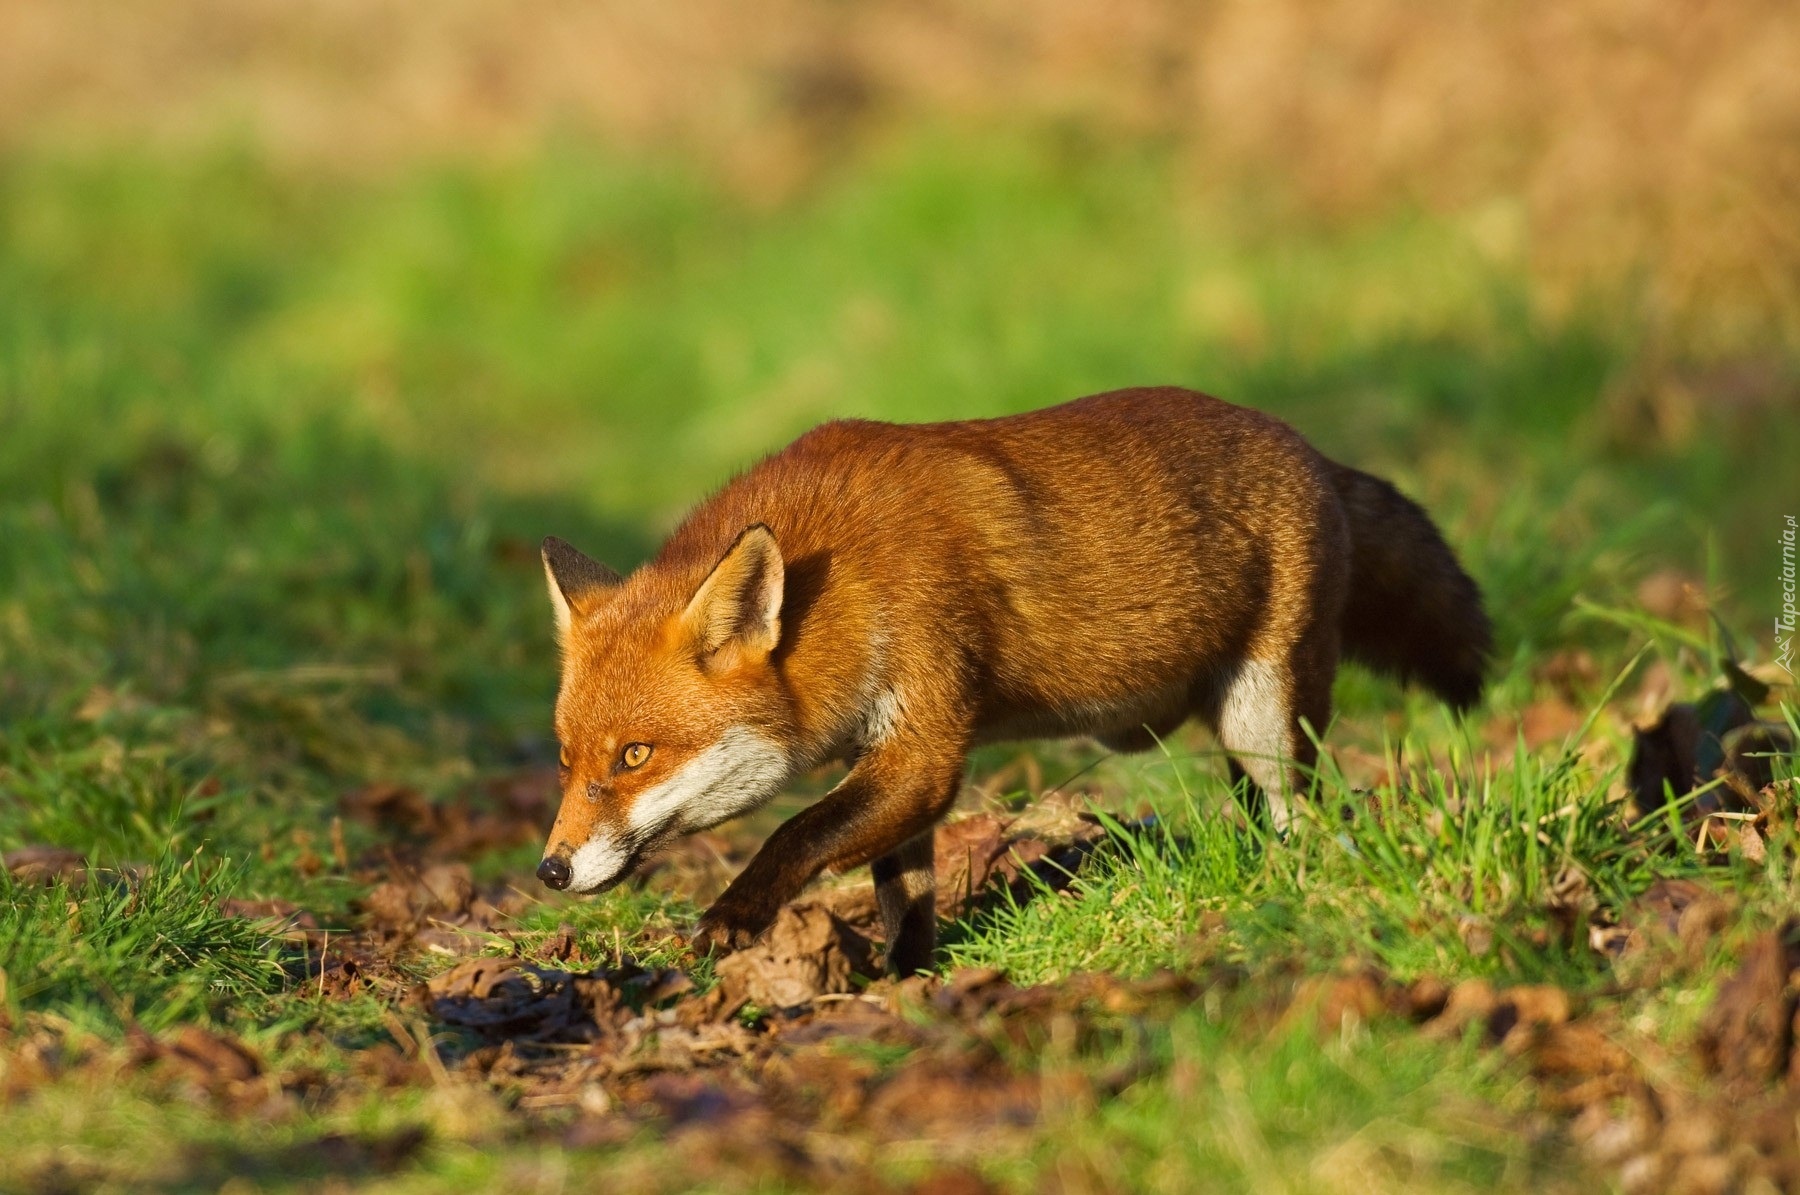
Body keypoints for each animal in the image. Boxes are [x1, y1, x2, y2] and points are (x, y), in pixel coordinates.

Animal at [532, 386, 1490, 964]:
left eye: (635, 756)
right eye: (567, 761)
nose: (550, 872)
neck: (844, 581)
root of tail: (1312, 451)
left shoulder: (925, 740)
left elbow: (794, 835)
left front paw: (736, 916)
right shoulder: (890, 760)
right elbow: (903, 892)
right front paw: (904, 979)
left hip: (1267, 725)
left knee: (1311, 820)